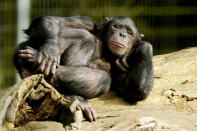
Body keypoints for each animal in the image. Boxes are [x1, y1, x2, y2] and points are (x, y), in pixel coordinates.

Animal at [13, 15, 154, 122]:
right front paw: (50, 49)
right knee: (84, 37)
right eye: (117, 26)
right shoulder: (87, 22)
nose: (122, 34)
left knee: (103, 79)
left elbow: (135, 90)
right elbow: (55, 21)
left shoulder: (123, 65)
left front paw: (144, 45)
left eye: (130, 33)